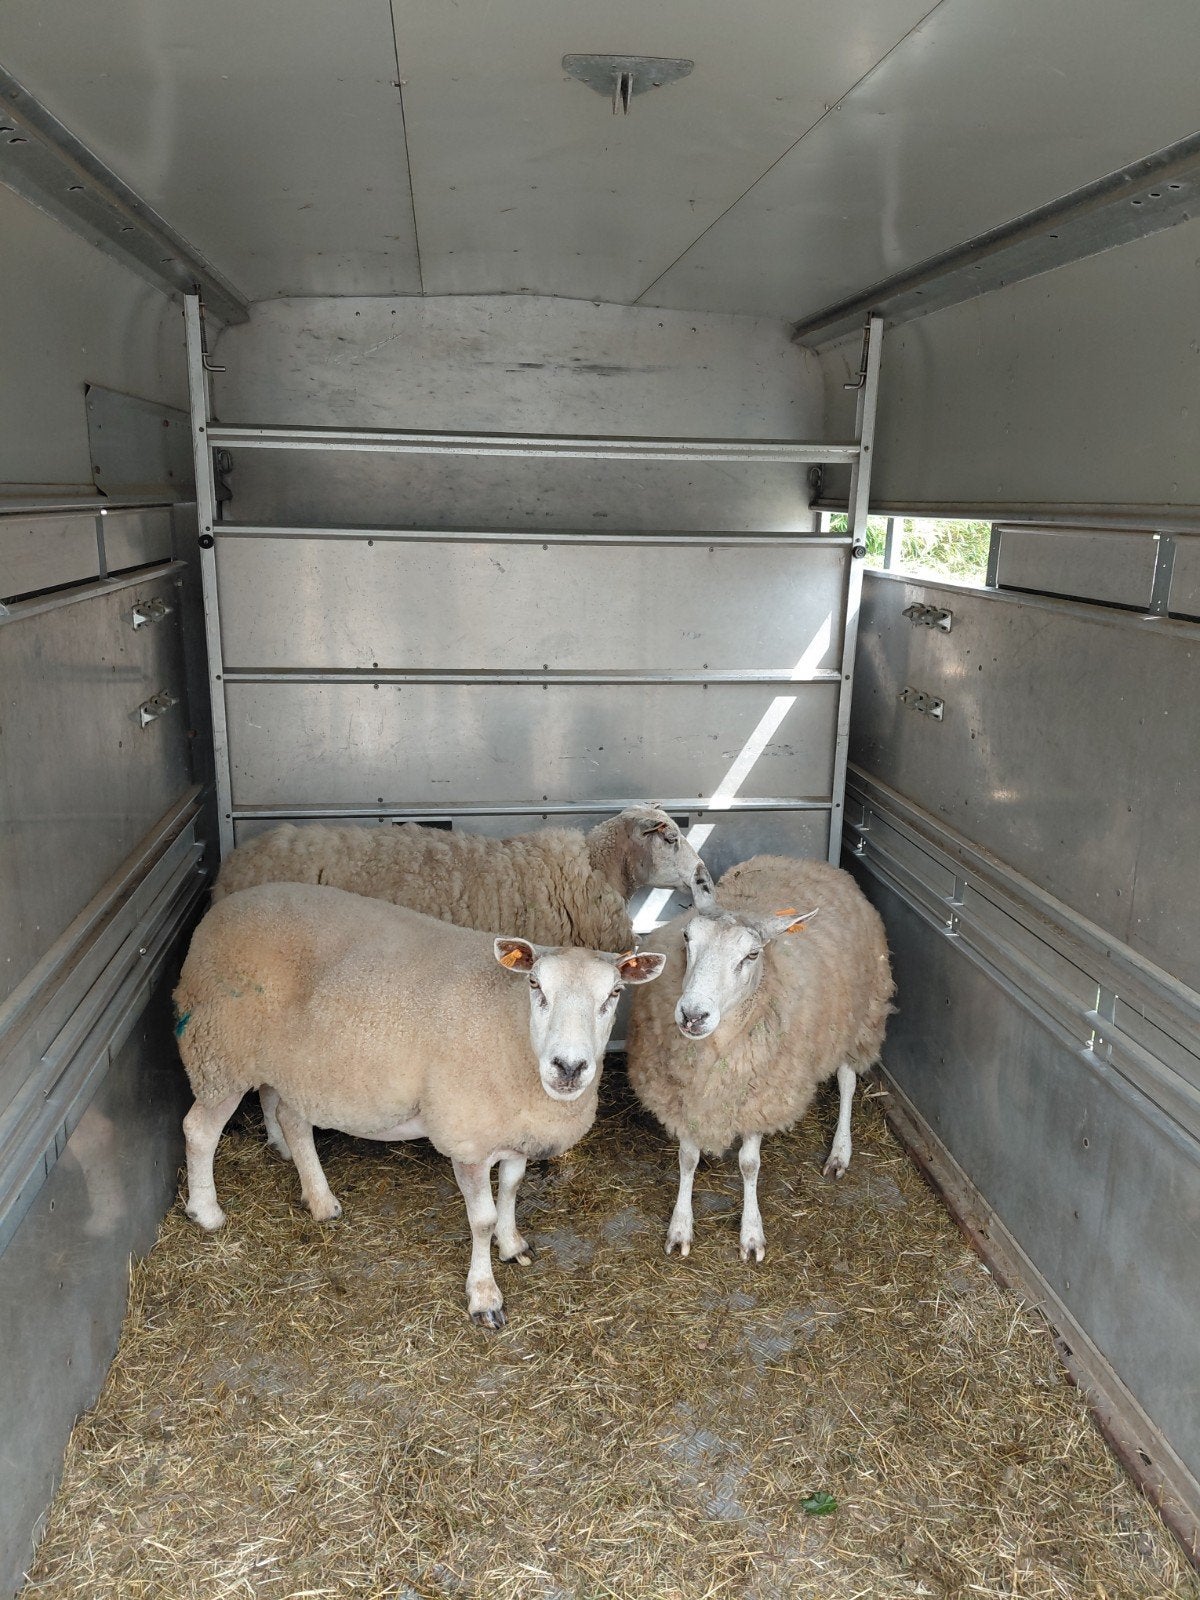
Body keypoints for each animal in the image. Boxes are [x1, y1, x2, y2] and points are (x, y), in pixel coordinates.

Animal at [174, 882, 666, 1328]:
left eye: (615, 994)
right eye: (534, 984)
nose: (568, 1067)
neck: (511, 1028)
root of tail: (220, 911)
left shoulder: (513, 1129)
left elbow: (511, 1190)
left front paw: (512, 1246)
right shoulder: (467, 1136)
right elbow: (482, 1218)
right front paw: (484, 1295)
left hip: (294, 1064)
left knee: (286, 1114)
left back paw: (315, 1193)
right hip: (221, 1050)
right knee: (200, 1129)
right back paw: (208, 1212)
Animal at [625, 854, 894, 1263]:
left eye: (751, 955)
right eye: (687, 938)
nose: (692, 1016)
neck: (715, 1053)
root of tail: (804, 861)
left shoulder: (761, 1095)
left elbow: (749, 1165)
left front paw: (751, 1234)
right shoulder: (683, 1091)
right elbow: (686, 1158)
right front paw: (680, 1227)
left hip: (859, 1017)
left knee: (848, 1081)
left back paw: (839, 1152)